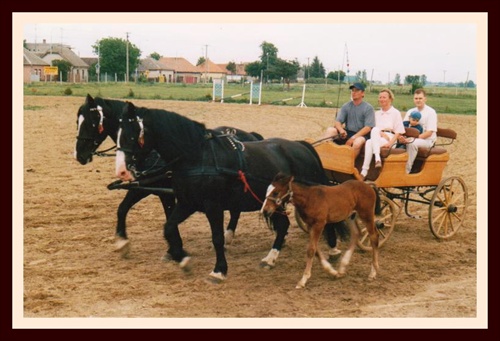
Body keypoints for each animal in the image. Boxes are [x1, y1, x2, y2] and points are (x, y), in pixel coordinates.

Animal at [74, 94, 264, 254]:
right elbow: (122, 209)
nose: (79, 155)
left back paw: (228, 235)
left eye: (91, 123)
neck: (153, 153)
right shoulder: (142, 187)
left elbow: (168, 216)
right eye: (77, 121)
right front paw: (122, 243)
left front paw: (175, 248)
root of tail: (251, 136)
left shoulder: (165, 193)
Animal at [115, 101, 340, 282]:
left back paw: (333, 249)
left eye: (132, 135)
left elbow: (217, 238)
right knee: (283, 225)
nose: (122, 171)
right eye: (117, 134)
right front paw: (183, 259)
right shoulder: (188, 203)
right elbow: (169, 227)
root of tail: (303, 147)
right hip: (276, 202)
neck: (198, 157)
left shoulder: (213, 206)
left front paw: (219, 270)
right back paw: (270, 259)